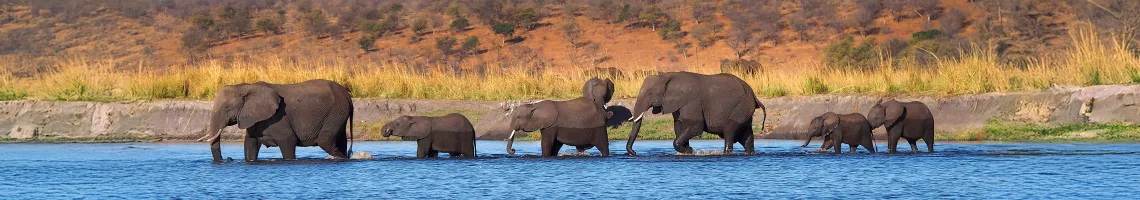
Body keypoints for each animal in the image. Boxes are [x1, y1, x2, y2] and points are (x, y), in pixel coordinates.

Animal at [197, 79, 351, 162]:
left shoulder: (278, 117)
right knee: (340, 140)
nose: (228, 159)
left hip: (336, 111)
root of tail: (348, 96)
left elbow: (288, 140)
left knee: (325, 140)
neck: (246, 86)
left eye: (227, 108)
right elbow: (250, 144)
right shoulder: (253, 118)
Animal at [624, 71, 766, 155]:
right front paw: (687, 151)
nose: (635, 153)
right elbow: (678, 127)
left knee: (730, 132)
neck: (668, 75)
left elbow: (696, 126)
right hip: (744, 110)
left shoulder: (692, 102)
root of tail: (754, 95)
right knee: (746, 136)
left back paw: (726, 153)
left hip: (739, 107)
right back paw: (749, 153)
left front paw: (690, 151)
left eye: (650, 93)